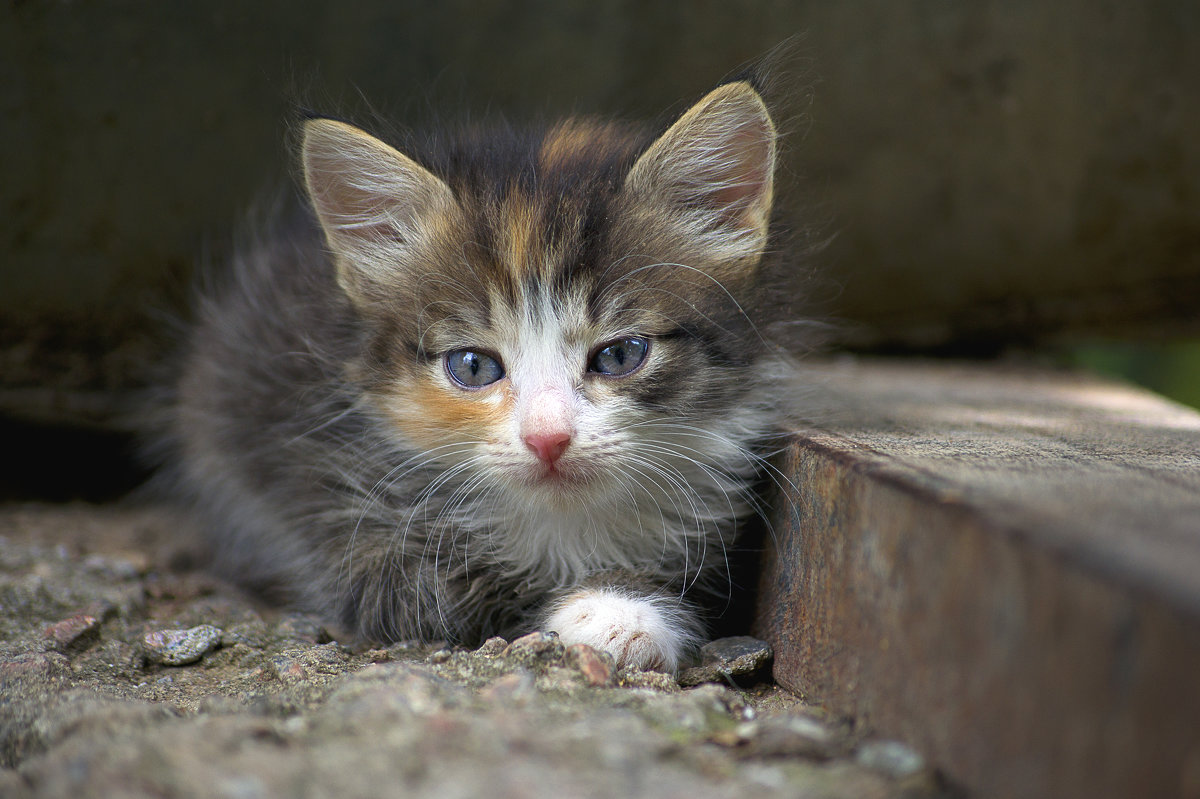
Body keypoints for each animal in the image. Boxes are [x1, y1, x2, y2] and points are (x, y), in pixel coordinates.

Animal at [157, 77, 796, 667]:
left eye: (620, 355)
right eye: (473, 366)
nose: (548, 439)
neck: (565, 523)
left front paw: (627, 609)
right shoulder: (349, 521)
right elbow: (459, 598)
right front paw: (608, 612)